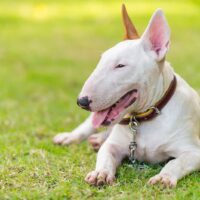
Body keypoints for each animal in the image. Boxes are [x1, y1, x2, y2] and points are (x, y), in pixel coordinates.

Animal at [53, 4, 200, 187]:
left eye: (120, 66)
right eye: (100, 62)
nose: (82, 102)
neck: (144, 118)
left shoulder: (193, 152)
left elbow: (176, 162)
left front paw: (163, 177)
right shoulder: (113, 145)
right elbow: (105, 155)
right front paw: (100, 173)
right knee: (90, 124)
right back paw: (74, 137)